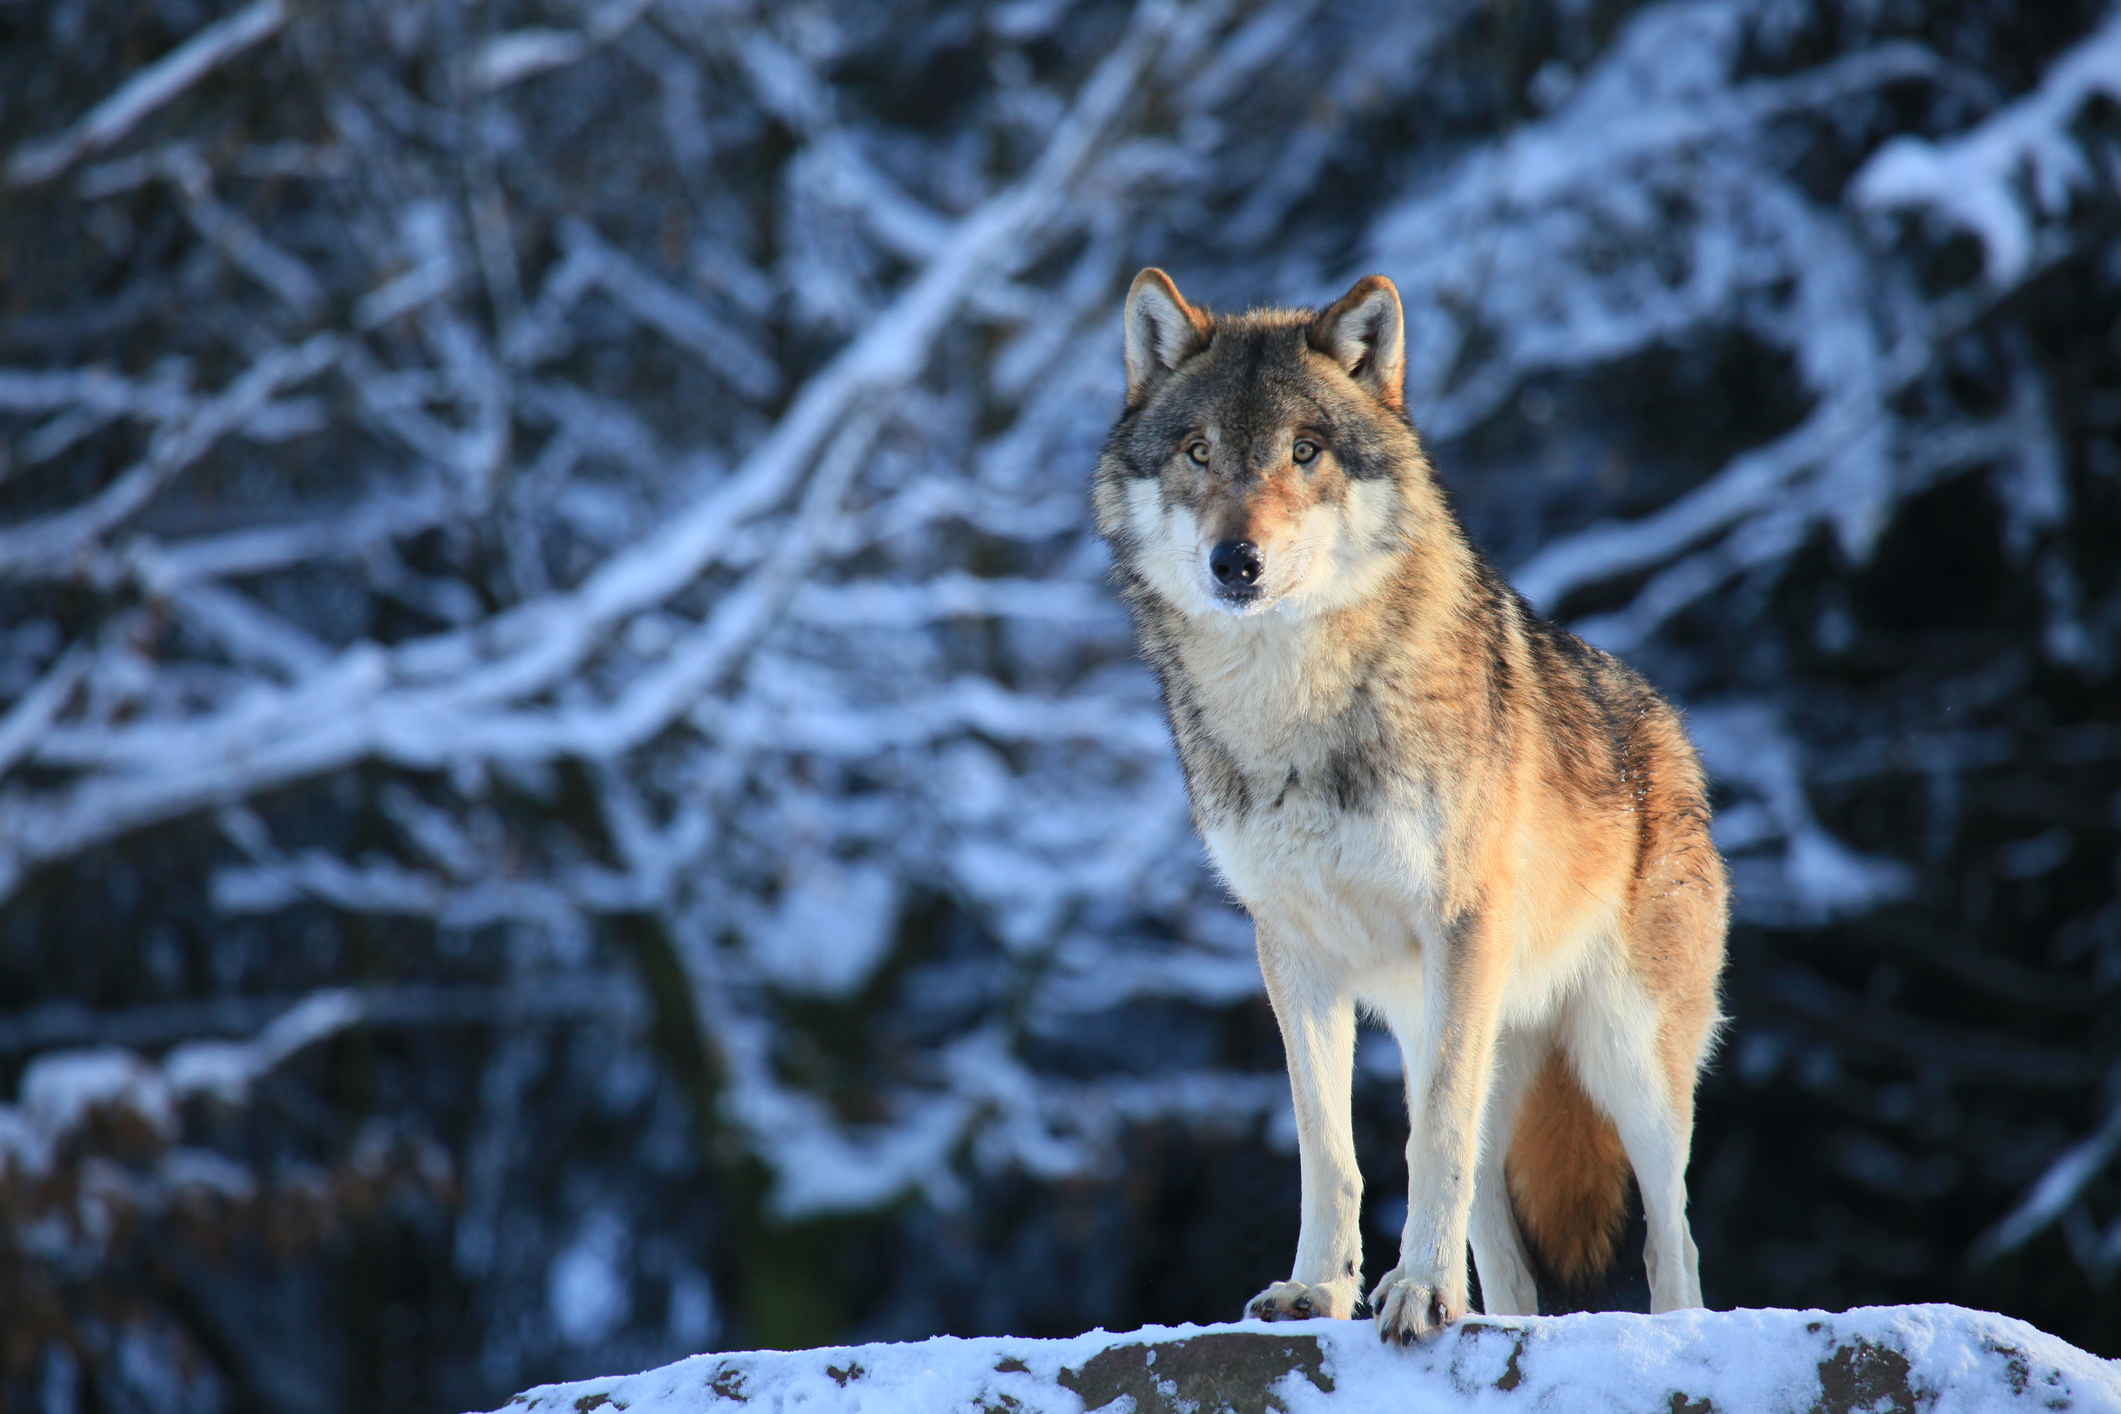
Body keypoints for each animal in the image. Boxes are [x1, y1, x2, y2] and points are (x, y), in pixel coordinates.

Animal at [1092, 269, 1728, 1343]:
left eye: (1304, 451)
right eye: (1198, 452)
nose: (1235, 561)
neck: (1295, 709)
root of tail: (1668, 729)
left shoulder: (1458, 924)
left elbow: (1429, 1141)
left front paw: (1419, 1292)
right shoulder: (1292, 951)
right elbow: (1328, 1151)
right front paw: (1317, 1291)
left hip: (1622, 1058)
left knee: (1669, 1236)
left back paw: (1664, 1331)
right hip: (1460, 1038)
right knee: (1505, 1252)